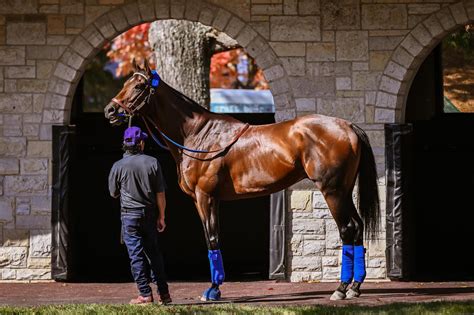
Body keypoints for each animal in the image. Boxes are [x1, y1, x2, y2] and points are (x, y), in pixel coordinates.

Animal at [104, 60, 382, 302]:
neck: (198, 135)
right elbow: (214, 237)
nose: (110, 110)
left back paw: (341, 288)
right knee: (358, 227)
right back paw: (355, 287)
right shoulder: (209, 199)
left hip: (332, 191)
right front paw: (215, 288)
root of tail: (347, 125)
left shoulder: (205, 196)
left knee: (347, 229)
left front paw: (213, 290)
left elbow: (211, 238)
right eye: (126, 82)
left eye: (138, 86)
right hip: (344, 190)